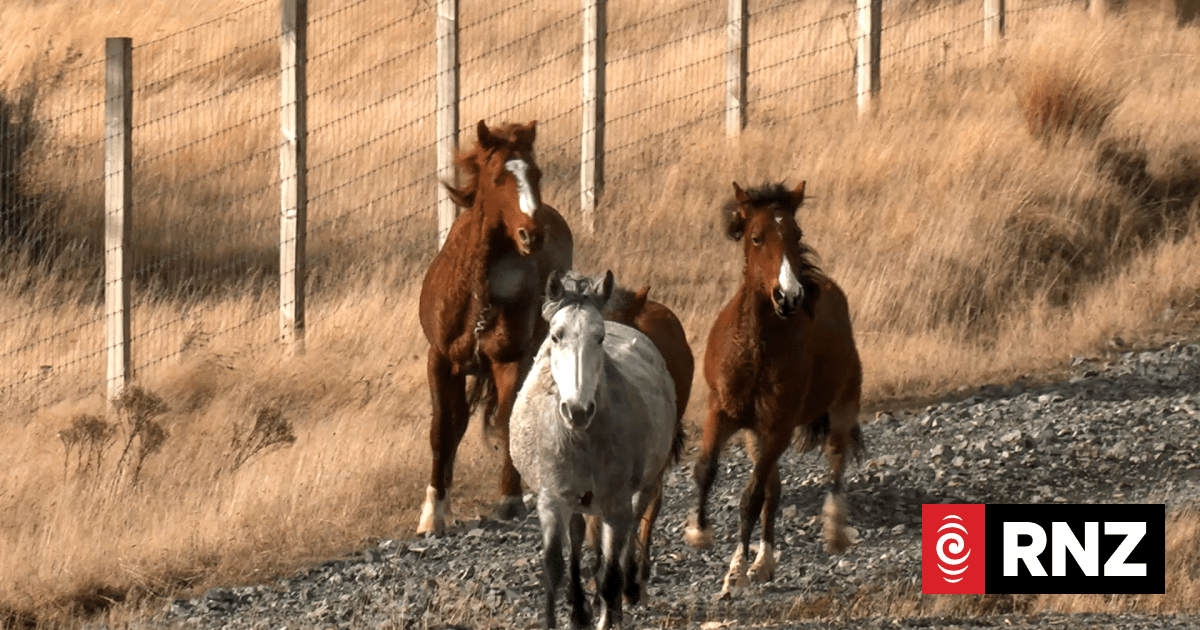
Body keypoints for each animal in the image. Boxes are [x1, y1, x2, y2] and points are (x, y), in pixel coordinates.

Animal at [417, 119, 574, 536]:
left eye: (536, 174)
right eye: (498, 177)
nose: (531, 234)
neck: (478, 294)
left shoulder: (509, 360)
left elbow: (507, 422)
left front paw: (509, 500)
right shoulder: (440, 360)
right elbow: (441, 430)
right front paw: (432, 514)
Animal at [510, 270, 678, 630]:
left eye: (599, 338)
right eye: (555, 336)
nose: (577, 411)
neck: (581, 440)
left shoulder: (616, 505)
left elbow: (611, 573)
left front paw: (609, 611)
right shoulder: (552, 501)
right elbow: (554, 568)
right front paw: (571, 612)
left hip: (642, 485)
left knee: (637, 522)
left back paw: (626, 593)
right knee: (578, 538)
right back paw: (580, 609)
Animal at [683, 181, 864, 595]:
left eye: (796, 234)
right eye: (756, 237)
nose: (790, 296)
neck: (758, 348)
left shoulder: (778, 426)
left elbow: (750, 496)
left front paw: (734, 573)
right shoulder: (722, 412)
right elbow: (706, 469)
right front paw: (699, 531)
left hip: (840, 408)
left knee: (835, 463)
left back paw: (834, 531)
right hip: (755, 434)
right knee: (775, 488)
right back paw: (764, 562)